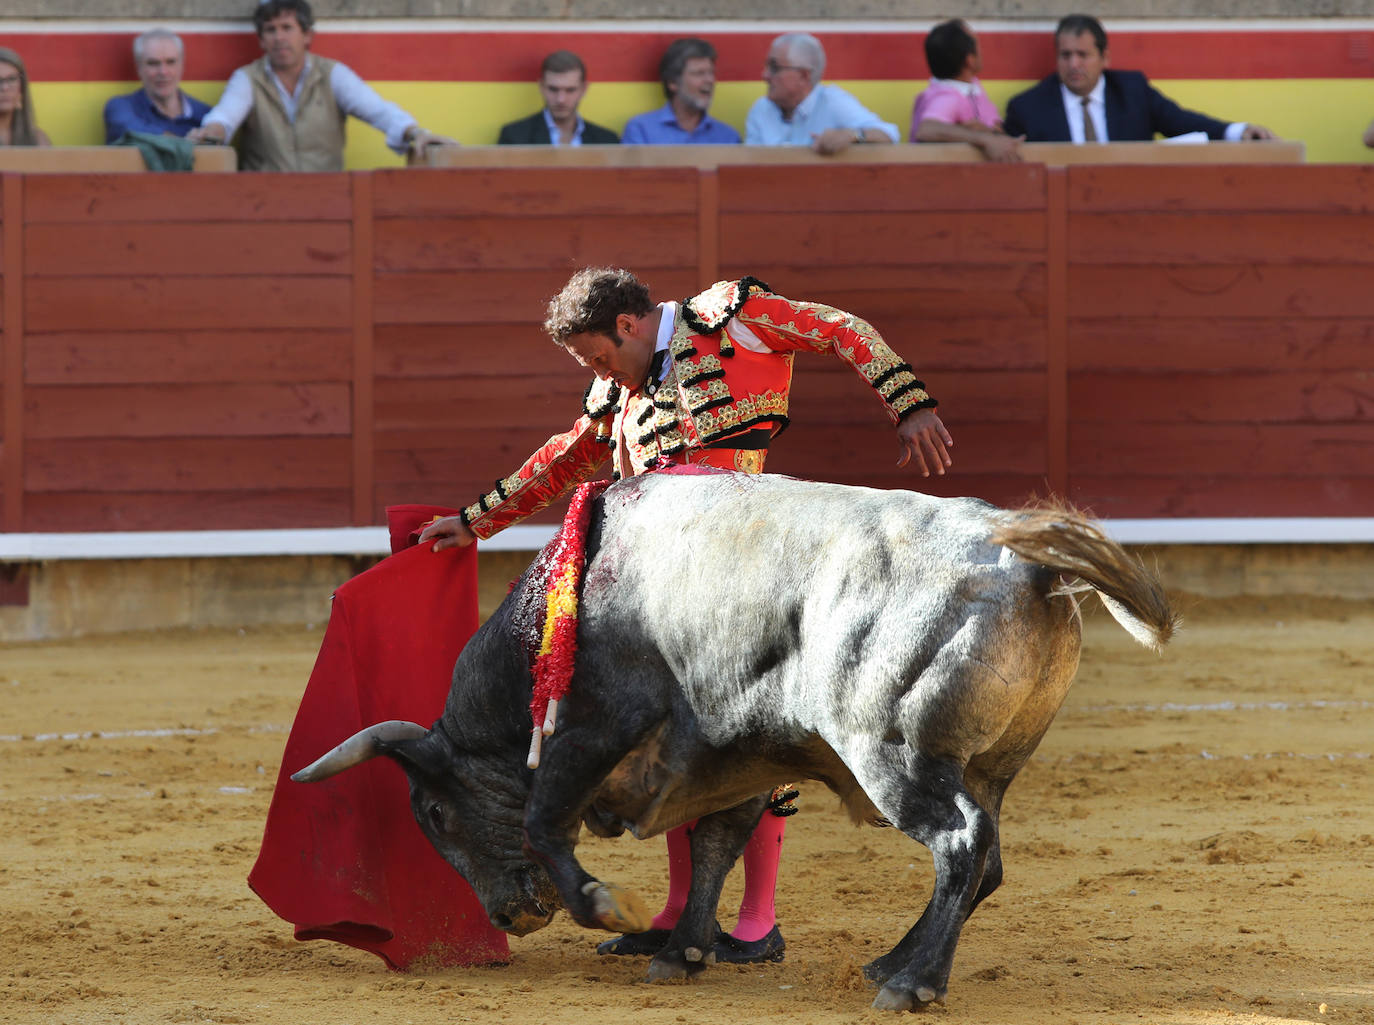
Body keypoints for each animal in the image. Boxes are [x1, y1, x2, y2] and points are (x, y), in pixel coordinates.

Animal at [295, 469, 1176, 1005]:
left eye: (435, 814)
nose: (511, 917)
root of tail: (1029, 565)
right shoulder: (743, 754)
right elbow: (717, 844)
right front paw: (681, 949)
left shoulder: (597, 724)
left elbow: (547, 820)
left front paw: (607, 905)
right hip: (987, 765)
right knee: (983, 855)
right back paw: (892, 960)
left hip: (893, 751)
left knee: (959, 842)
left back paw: (912, 982)